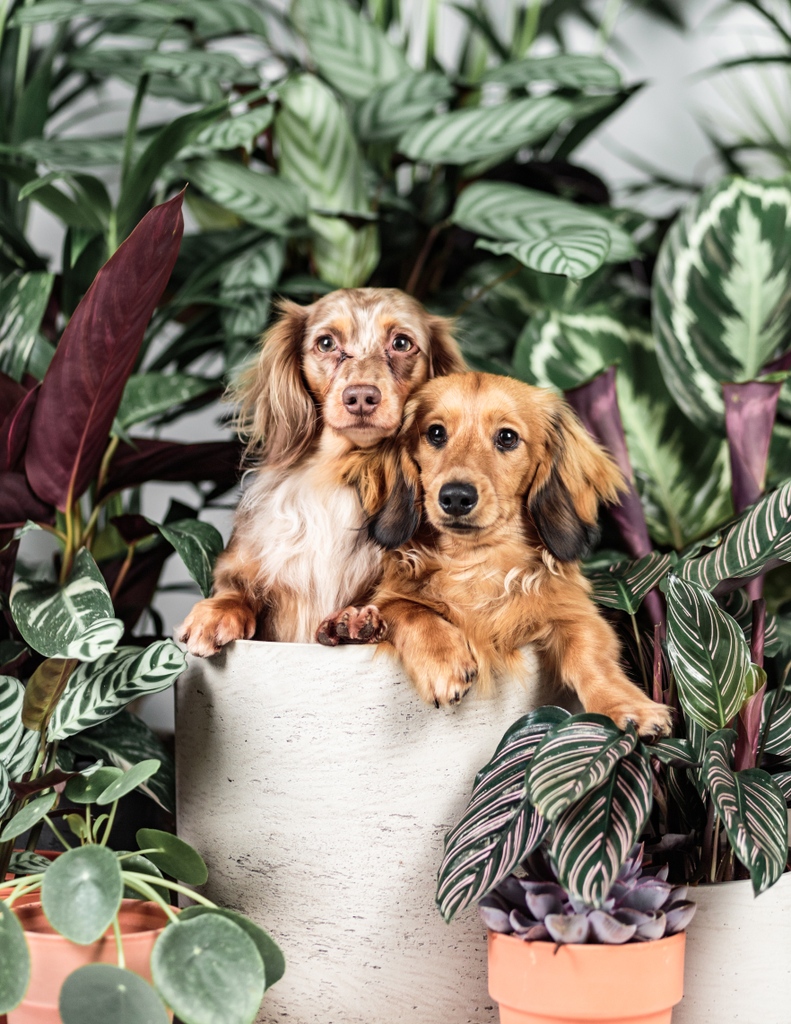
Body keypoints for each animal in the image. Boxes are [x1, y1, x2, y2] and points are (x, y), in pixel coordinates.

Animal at [178, 288, 463, 655]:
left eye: (401, 342)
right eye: (326, 343)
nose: (360, 396)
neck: (339, 474)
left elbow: (402, 605)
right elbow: (236, 588)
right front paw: (214, 613)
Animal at [317, 372, 672, 741]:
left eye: (507, 437)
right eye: (436, 432)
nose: (456, 497)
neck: (475, 562)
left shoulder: (573, 609)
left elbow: (588, 652)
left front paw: (626, 705)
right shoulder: (388, 595)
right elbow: (410, 609)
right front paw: (443, 661)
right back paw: (350, 625)